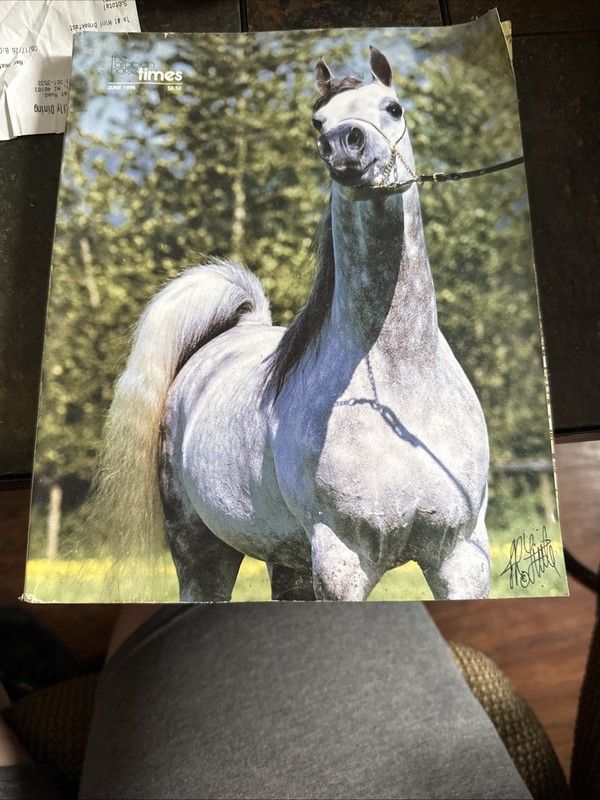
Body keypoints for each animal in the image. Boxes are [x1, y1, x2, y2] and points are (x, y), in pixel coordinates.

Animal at [93, 47, 490, 602]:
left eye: (393, 107)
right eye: (318, 121)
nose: (343, 145)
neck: (401, 385)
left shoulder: (462, 557)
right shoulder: (342, 561)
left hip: (290, 561)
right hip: (201, 550)